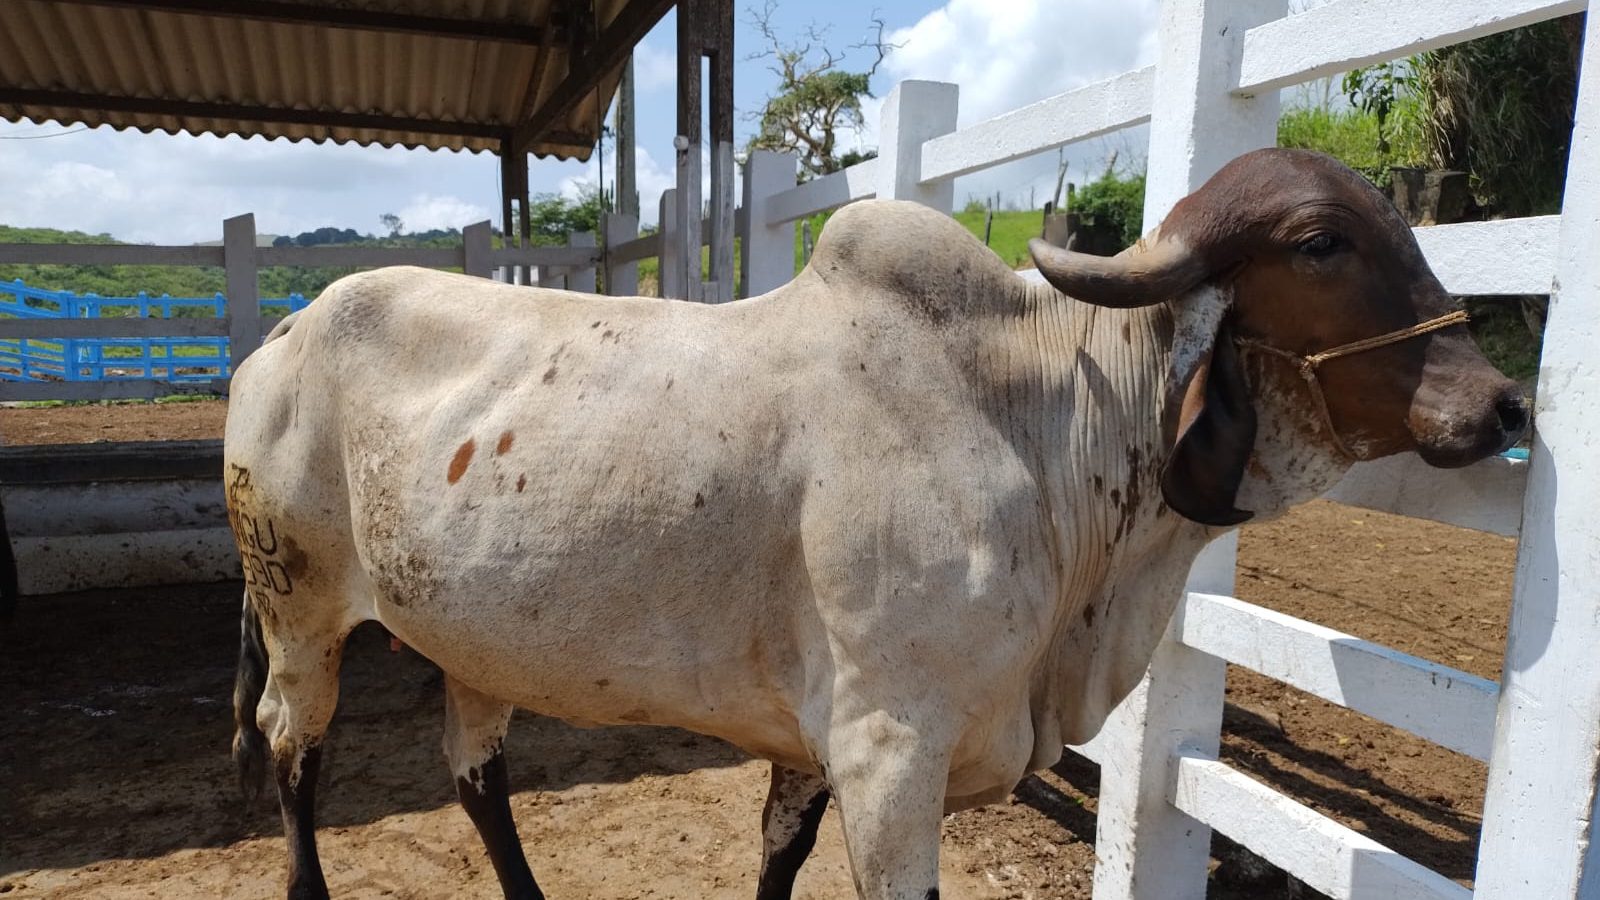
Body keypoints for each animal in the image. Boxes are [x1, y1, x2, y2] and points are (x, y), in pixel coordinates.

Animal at [226, 149, 1526, 900]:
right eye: (1320, 244)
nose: (1501, 403)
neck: (1038, 421)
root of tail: (281, 333)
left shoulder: (815, 747)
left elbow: (777, 857)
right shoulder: (888, 753)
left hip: (471, 639)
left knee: (475, 774)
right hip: (300, 610)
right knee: (294, 748)